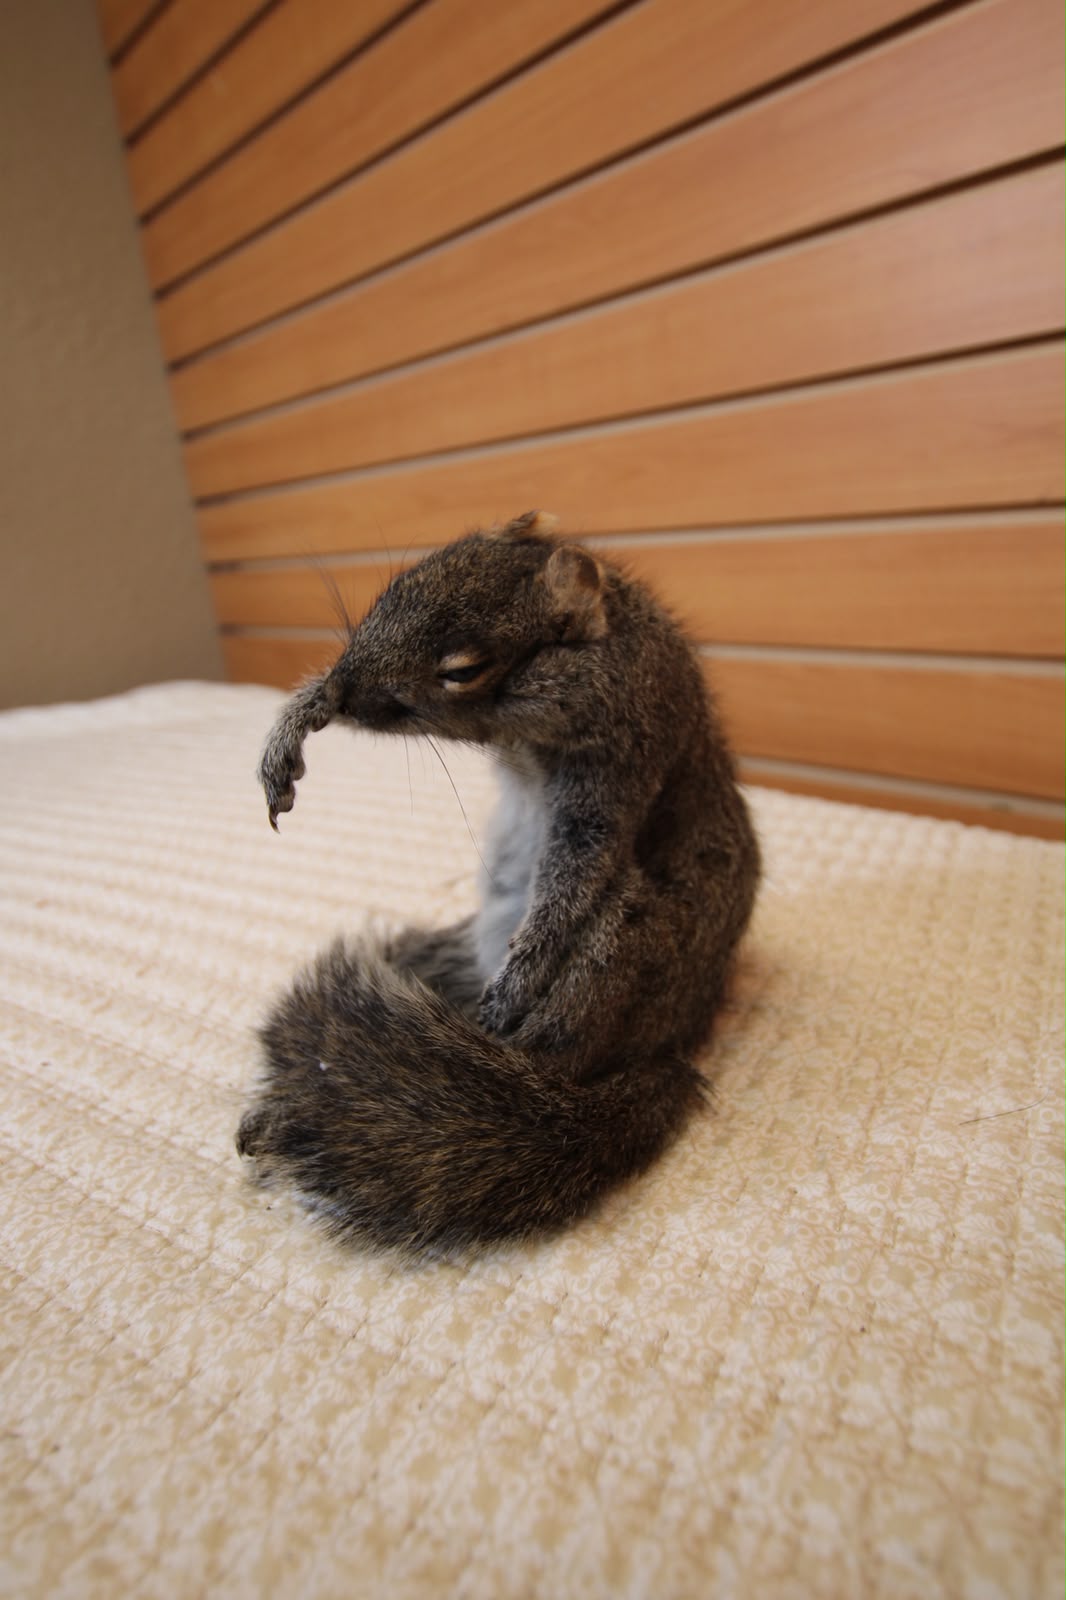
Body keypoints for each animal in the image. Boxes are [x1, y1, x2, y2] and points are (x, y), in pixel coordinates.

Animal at [237, 511, 760, 1254]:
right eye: (392, 590)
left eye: (462, 669)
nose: (344, 690)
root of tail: (670, 1049)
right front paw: (297, 718)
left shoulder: (625, 757)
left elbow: (580, 866)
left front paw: (522, 972)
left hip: (613, 960)